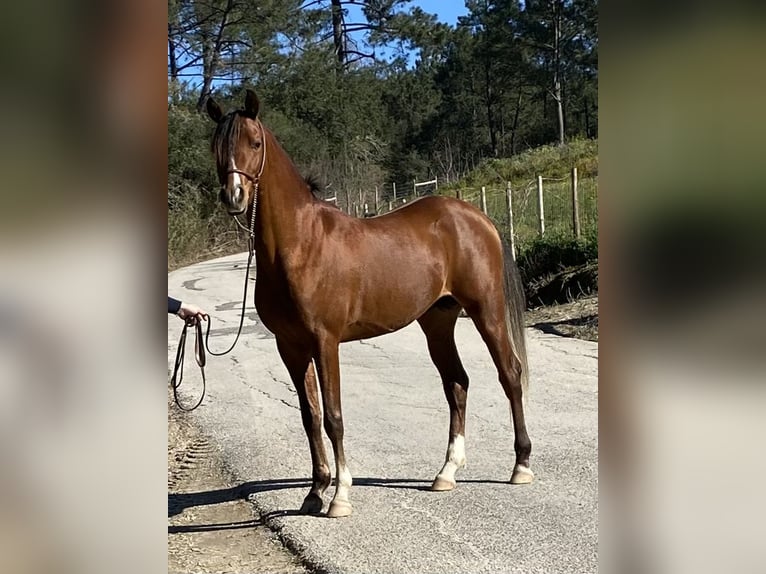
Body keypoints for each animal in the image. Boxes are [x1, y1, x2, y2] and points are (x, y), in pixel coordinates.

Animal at [207, 91, 536, 520]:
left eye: (255, 143)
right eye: (216, 146)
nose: (234, 196)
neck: (299, 244)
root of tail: (476, 217)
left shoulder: (324, 341)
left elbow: (333, 417)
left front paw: (339, 497)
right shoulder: (290, 346)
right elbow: (310, 416)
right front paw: (314, 491)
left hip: (486, 311)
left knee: (509, 374)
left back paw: (521, 466)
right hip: (438, 321)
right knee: (457, 383)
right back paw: (446, 473)